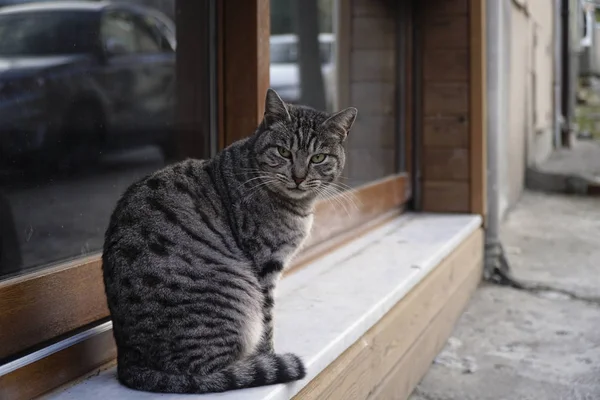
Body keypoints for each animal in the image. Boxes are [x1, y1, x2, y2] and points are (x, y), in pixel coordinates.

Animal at [102, 88, 356, 394]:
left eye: (318, 158)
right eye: (284, 152)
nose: (298, 177)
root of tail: (129, 362)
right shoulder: (265, 268)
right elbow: (267, 323)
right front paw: (269, 356)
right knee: (212, 372)